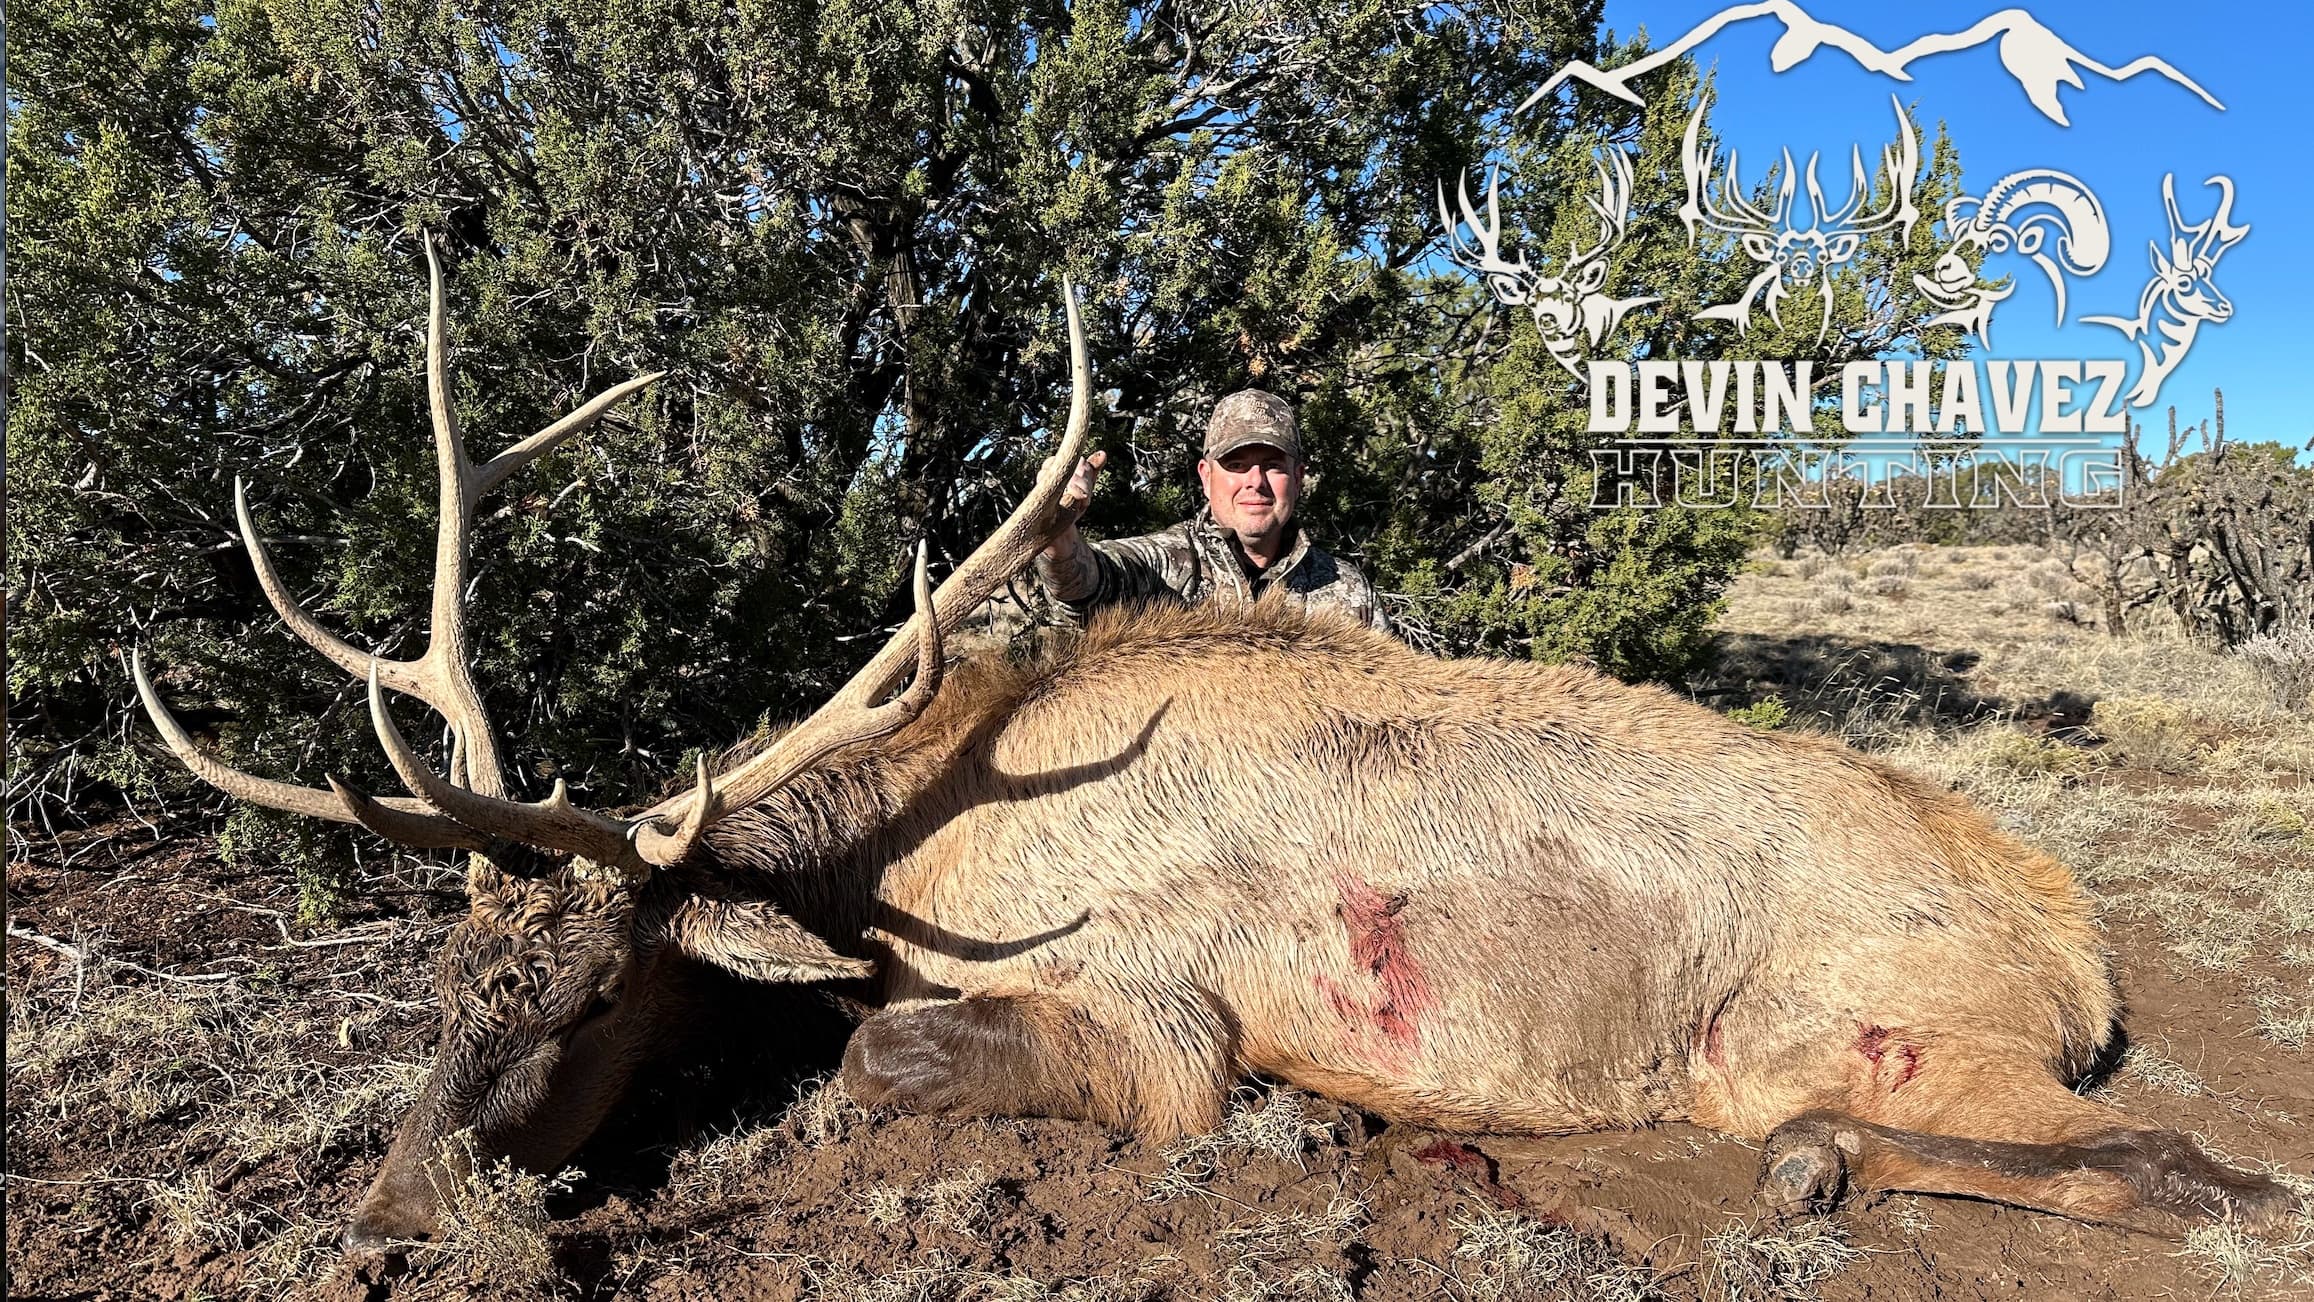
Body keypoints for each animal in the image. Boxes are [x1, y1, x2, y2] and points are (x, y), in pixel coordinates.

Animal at [134, 238, 2296, 1259]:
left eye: (591, 997)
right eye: (437, 990)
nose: (394, 1205)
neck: (902, 847)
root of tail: (2077, 944)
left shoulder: (1161, 1008)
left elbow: (890, 1060)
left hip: (1841, 1019)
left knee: (2174, 1163)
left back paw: (1834, 1165)